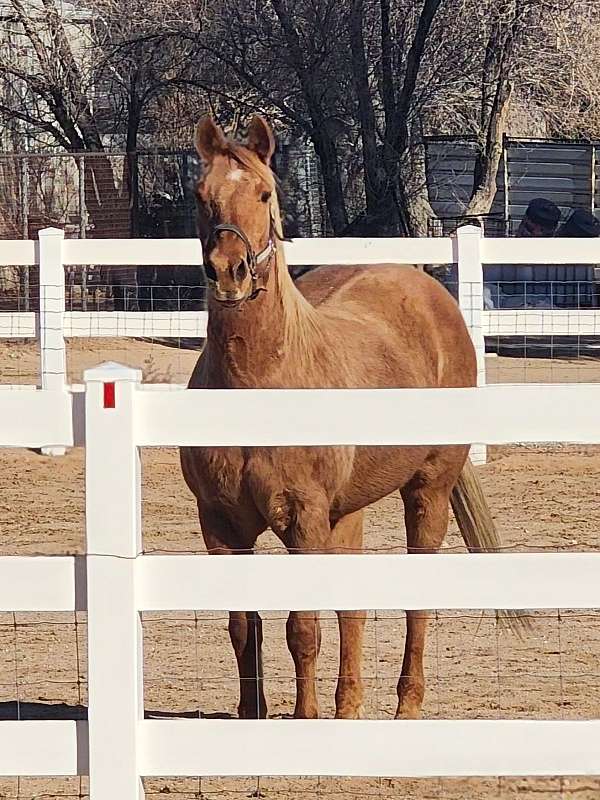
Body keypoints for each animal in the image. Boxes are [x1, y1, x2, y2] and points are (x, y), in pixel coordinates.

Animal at [179, 115, 520, 720]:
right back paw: (349, 707)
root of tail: (430, 290)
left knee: (414, 600)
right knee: (352, 608)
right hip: (348, 511)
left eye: (264, 193)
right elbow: (244, 628)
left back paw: (406, 705)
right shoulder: (219, 524)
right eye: (201, 195)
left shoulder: (304, 520)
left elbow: (302, 629)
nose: (229, 273)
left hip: (427, 490)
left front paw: (305, 718)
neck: (260, 382)